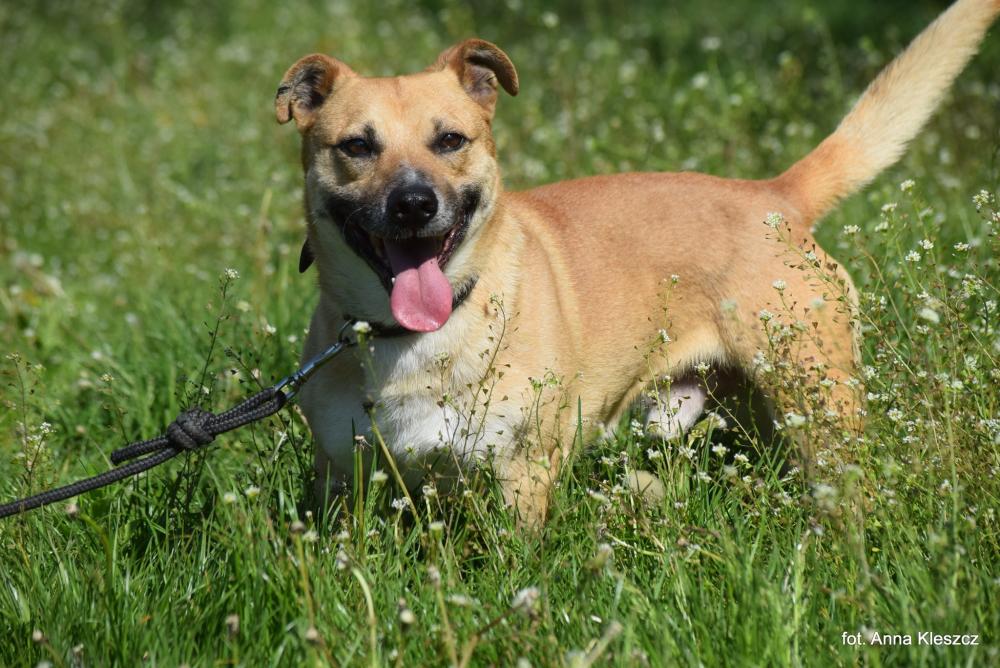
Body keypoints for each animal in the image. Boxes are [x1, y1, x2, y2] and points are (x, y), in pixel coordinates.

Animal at [277, 0, 999, 526]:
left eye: (450, 140)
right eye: (357, 146)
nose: (413, 204)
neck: (408, 337)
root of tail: (774, 196)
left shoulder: (520, 478)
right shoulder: (345, 482)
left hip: (819, 408)